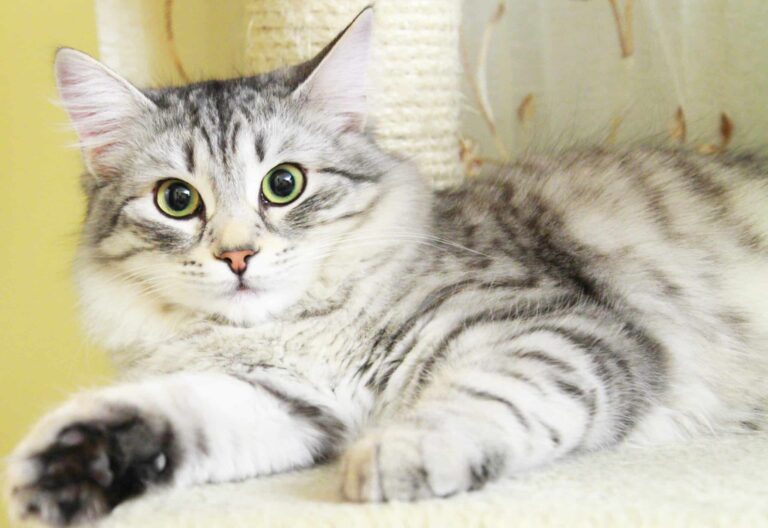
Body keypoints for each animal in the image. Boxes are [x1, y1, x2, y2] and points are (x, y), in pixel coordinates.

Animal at [6, 9, 768, 528]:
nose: (237, 255)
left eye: (284, 184)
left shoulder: (554, 325)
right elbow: (177, 410)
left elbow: (485, 393)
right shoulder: (287, 401)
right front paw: (64, 467)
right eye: (176, 200)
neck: (298, 330)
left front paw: (403, 451)